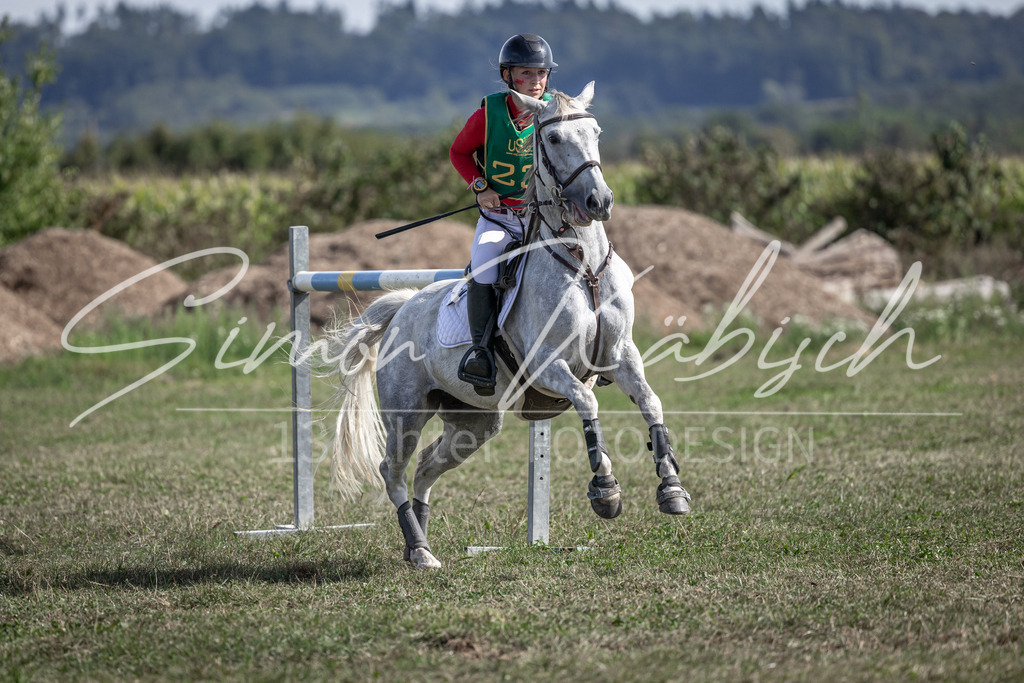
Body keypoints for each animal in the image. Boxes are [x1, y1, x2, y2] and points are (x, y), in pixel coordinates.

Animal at [327, 82, 690, 569]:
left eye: (596, 132)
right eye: (553, 138)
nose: (599, 202)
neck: (584, 264)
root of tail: (403, 308)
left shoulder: (621, 356)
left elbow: (651, 404)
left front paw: (672, 489)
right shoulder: (549, 365)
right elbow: (588, 403)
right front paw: (605, 491)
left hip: (474, 423)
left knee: (426, 466)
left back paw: (417, 541)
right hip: (406, 412)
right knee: (394, 469)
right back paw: (419, 549)